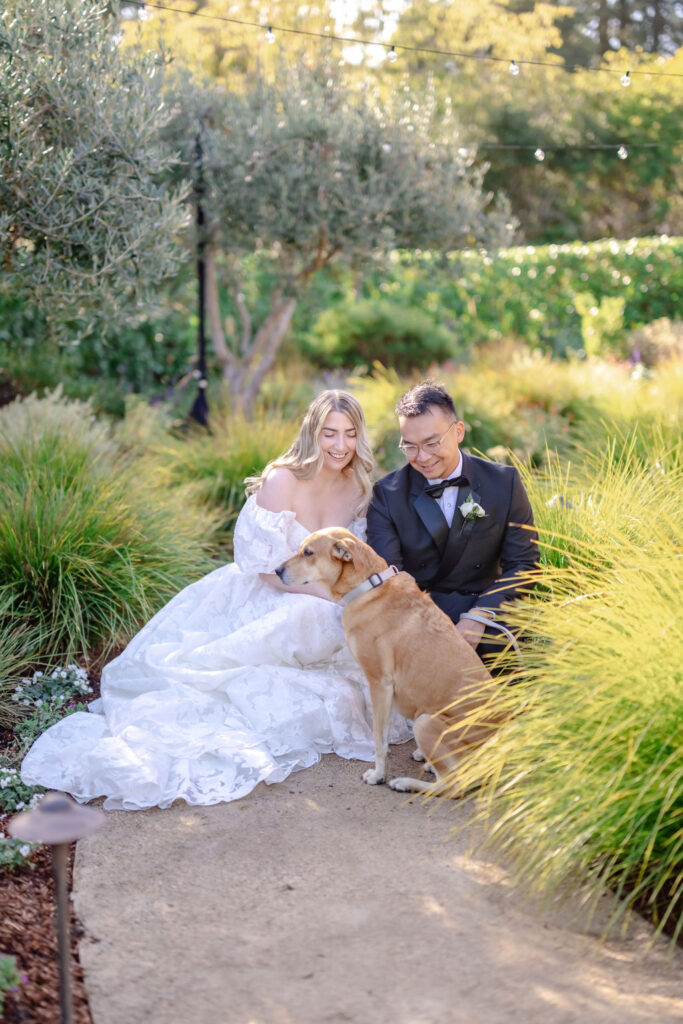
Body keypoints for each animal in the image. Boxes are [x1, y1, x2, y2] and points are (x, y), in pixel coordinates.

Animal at [274, 528, 505, 790]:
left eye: (308, 553)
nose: (276, 571)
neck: (369, 588)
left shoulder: (379, 684)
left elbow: (379, 739)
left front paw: (378, 775)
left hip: (425, 722)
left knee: (452, 784)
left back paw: (406, 783)